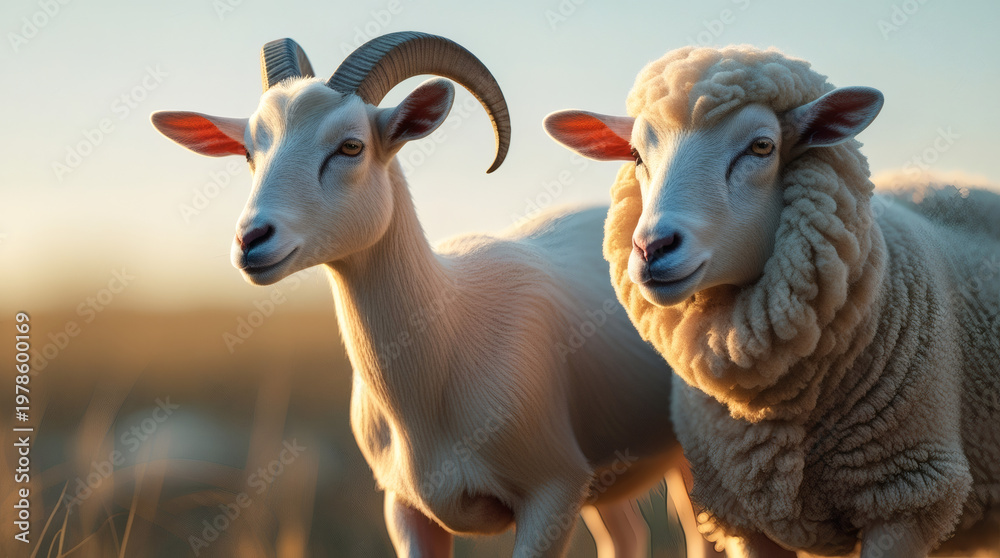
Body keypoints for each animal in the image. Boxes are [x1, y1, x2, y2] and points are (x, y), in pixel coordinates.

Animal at [149, 32, 716, 558]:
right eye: (249, 151)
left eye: (350, 145)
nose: (251, 240)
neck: (445, 338)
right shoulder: (406, 510)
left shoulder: (551, 495)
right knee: (628, 536)